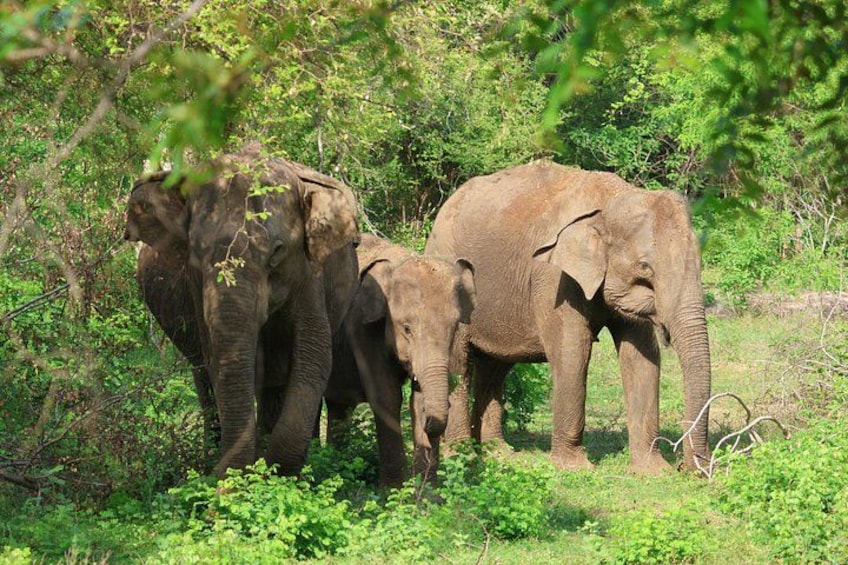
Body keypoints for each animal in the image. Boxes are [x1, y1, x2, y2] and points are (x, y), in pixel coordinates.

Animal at [125, 143, 360, 477]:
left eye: (277, 252)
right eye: (196, 251)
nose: (224, 478)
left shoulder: (310, 272)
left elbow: (313, 354)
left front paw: (280, 469)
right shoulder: (196, 287)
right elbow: (218, 359)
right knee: (205, 378)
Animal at [324, 234, 475, 486]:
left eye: (454, 328)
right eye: (406, 329)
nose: (429, 427)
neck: (399, 261)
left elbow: (418, 399)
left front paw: (427, 494)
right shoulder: (362, 326)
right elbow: (386, 396)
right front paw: (394, 489)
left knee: (338, 406)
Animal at [425, 160, 712, 474]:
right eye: (645, 267)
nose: (688, 468)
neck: (612, 200)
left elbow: (643, 357)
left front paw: (653, 472)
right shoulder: (552, 278)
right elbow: (572, 352)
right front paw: (575, 468)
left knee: (494, 368)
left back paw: (497, 453)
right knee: (460, 363)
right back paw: (460, 454)